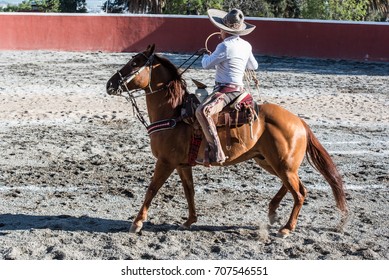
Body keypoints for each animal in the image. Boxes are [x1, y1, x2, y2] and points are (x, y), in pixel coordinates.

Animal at [104, 44, 348, 237]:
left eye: (135, 62)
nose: (110, 84)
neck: (174, 113)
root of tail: (300, 122)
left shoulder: (165, 162)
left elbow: (152, 189)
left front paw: (137, 223)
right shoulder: (182, 165)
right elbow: (189, 191)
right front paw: (189, 221)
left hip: (283, 165)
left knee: (299, 193)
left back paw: (286, 228)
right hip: (270, 162)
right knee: (297, 188)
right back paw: (272, 213)